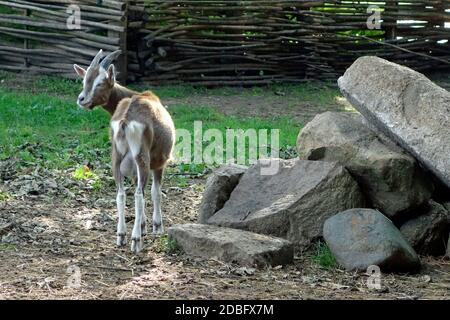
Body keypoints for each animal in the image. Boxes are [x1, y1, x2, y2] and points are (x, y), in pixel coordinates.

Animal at [73, 50, 175, 254]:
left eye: (99, 82)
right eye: (84, 80)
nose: (82, 99)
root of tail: (126, 118)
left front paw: (143, 226)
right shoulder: (160, 163)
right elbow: (155, 192)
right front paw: (156, 227)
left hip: (116, 157)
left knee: (120, 193)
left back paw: (121, 235)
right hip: (142, 157)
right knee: (138, 195)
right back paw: (135, 240)